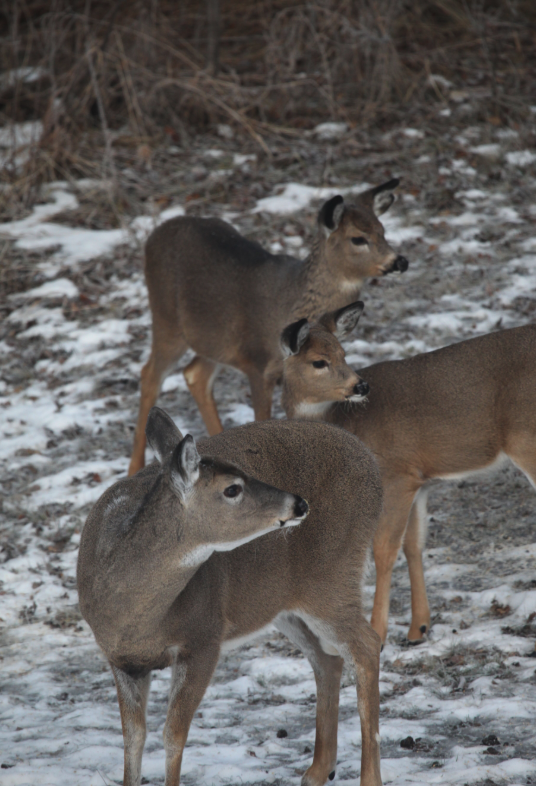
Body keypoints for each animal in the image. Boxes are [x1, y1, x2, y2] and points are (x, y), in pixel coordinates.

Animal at [76, 408, 386, 784]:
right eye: (232, 488)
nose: (298, 503)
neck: (136, 619)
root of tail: (370, 462)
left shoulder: (204, 638)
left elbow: (173, 735)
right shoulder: (120, 659)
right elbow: (133, 738)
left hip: (332, 576)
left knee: (366, 646)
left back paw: (366, 777)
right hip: (282, 601)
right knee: (328, 659)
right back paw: (317, 770)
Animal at [127, 178, 408, 472]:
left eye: (383, 231)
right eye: (358, 238)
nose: (400, 261)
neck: (293, 301)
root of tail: (154, 234)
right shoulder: (257, 364)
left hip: (212, 343)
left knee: (194, 374)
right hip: (166, 321)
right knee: (150, 375)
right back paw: (134, 467)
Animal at [280, 302, 536, 644]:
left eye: (343, 353)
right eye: (320, 361)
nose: (361, 385)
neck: (347, 423)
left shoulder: (396, 475)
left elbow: (384, 550)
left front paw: (378, 631)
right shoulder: (420, 481)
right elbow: (413, 545)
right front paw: (419, 628)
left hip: (526, 439)